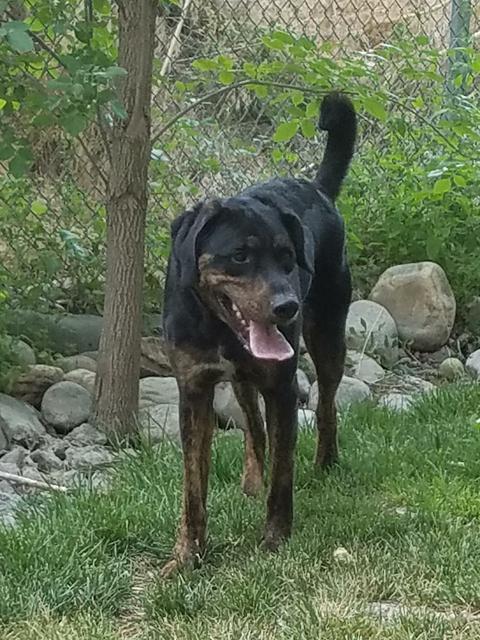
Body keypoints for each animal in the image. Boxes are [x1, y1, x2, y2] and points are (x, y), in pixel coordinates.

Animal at [161, 91, 356, 576]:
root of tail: (317, 189)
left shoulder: (282, 387)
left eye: (289, 258)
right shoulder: (193, 390)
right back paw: (252, 478)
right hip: (244, 379)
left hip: (328, 336)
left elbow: (284, 475)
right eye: (239, 256)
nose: (288, 306)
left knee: (326, 404)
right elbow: (194, 484)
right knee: (252, 422)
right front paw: (187, 555)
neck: (217, 325)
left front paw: (274, 540)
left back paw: (326, 462)